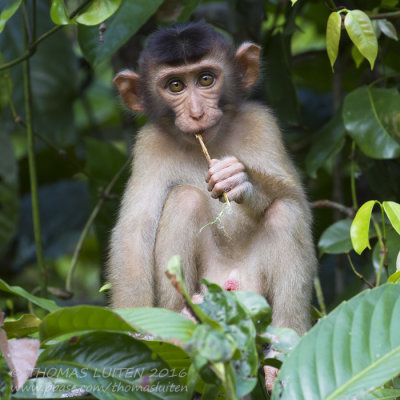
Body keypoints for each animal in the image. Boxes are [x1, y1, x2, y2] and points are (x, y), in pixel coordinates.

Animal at [108, 21, 316, 340]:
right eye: (175, 86)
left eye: (206, 79)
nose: (197, 113)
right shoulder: (148, 146)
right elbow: (133, 234)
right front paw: (133, 329)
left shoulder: (261, 122)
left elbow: (298, 201)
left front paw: (239, 180)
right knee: (184, 198)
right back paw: (182, 317)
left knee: (286, 212)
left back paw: (284, 338)